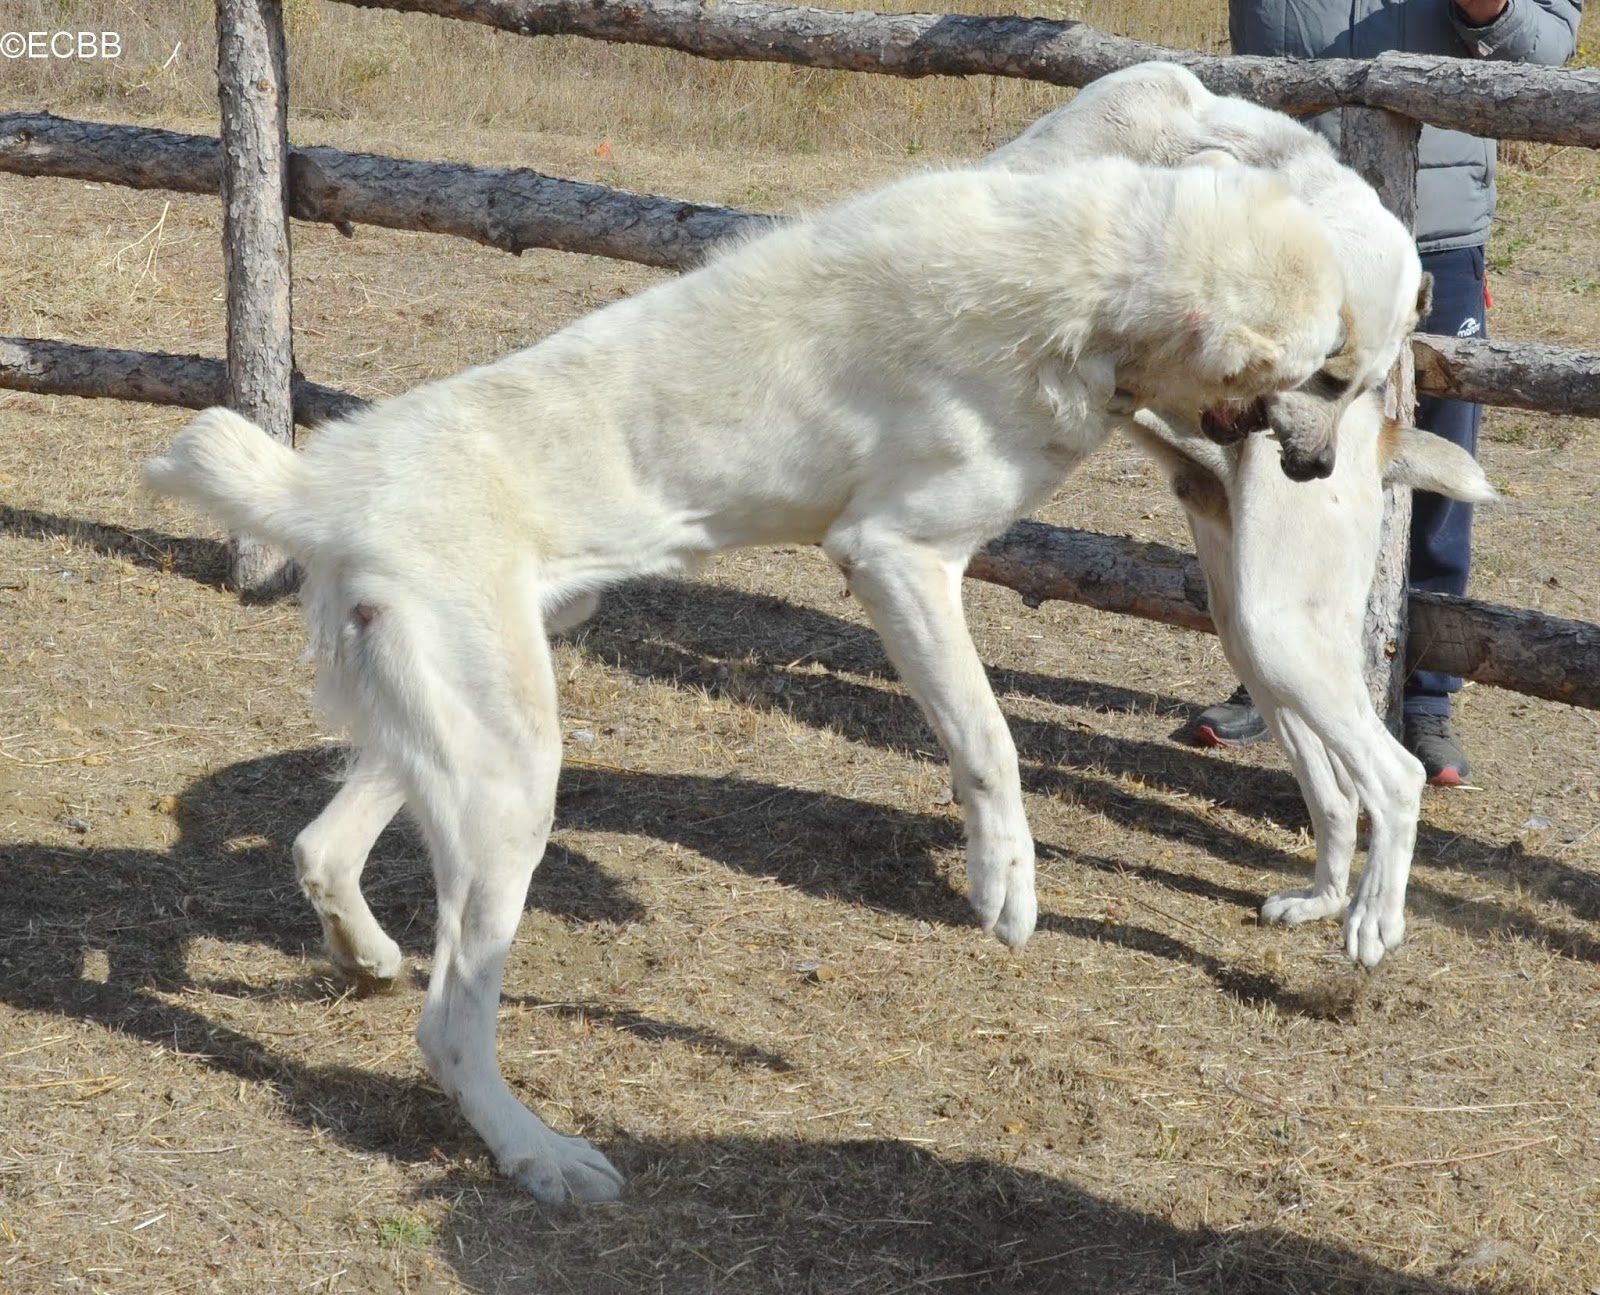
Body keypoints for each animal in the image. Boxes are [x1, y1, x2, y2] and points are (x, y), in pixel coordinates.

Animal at [147, 157, 1345, 1200]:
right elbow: (989, 742)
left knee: (320, 844)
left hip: (483, 701)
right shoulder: (896, 557)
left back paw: (364, 958)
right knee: (447, 1022)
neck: (1095, 277)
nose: (1318, 468)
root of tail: (316, 484)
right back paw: (540, 1154)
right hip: (511, 776)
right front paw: (1004, 884)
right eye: (1323, 370)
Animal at [986, 63, 1494, 965]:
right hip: (1258, 643)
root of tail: (1383, 446)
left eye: (1361, 382)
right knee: (1337, 794)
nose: (1316, 468)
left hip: (1280, 634)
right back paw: (1320, 898)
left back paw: (1371, 919)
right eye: (1329, 374)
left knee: (1393, 779)